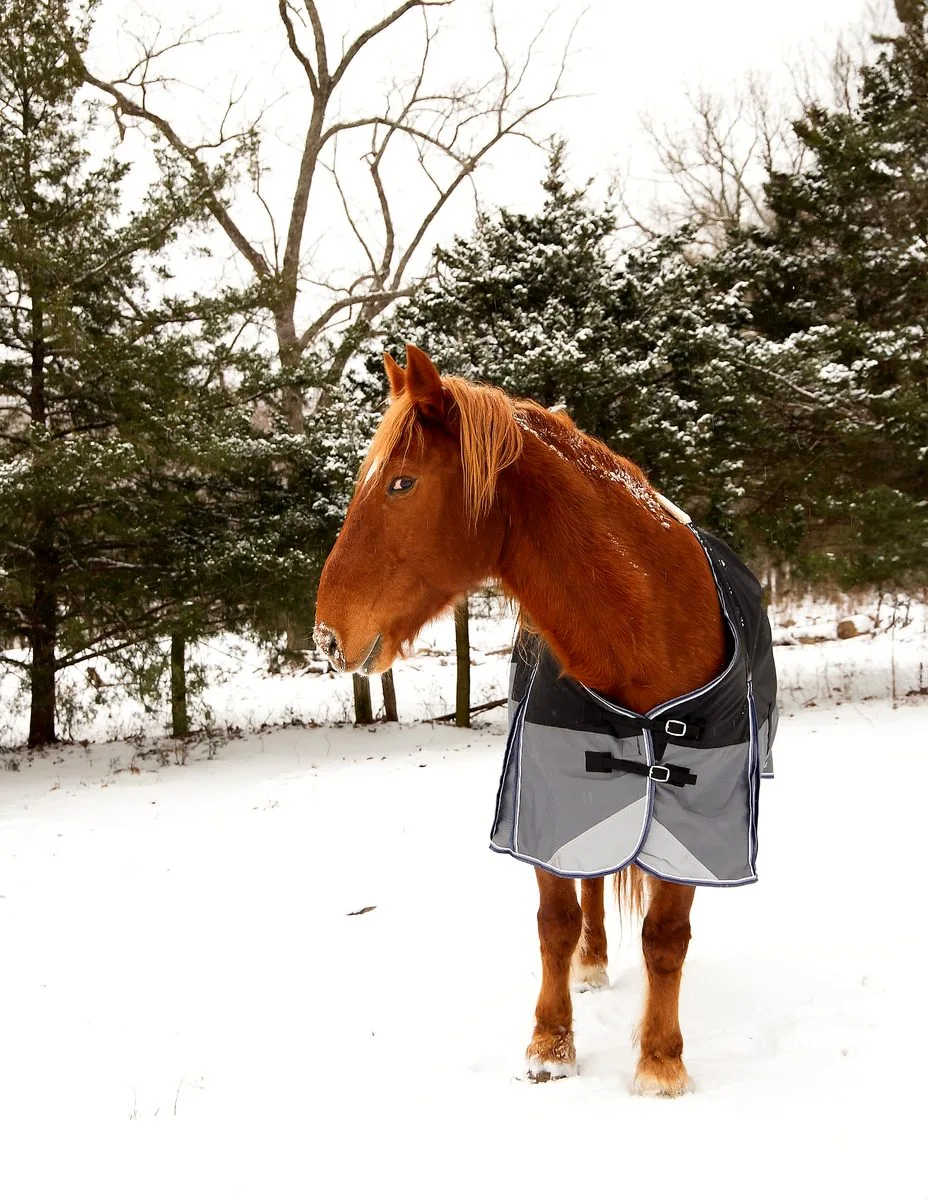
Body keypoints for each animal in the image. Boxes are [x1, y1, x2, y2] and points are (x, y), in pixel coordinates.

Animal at [314, 343, 738, 1095]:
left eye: (401, 484)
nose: (328, 636)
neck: (643, 627)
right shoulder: (545, 792)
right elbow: (556, 921)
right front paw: (551, 1044)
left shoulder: (699, 802)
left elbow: (666, 937)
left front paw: (661, 1061)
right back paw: (593, 965)